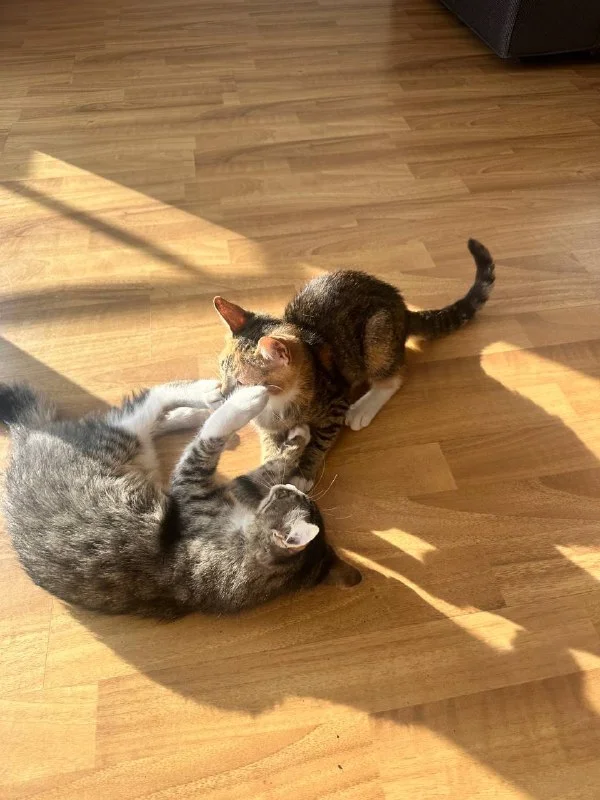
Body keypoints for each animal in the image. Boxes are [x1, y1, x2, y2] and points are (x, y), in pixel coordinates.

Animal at [0, 380, 360, 619]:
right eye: (293, 496)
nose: (292, 490)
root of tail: (27, 436)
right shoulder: (233, 487)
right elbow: (272, 462)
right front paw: (298, 439)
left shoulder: (192, 487)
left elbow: (209, 438)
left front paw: (246, 412)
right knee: (151, 414)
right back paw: (202, 405)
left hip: (121, 441)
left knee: (146, 407)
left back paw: (218, 399)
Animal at [214, 238, 495, 488]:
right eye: (221, 371)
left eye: (242, 382)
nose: (223, 396)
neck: (279, 403)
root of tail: (402, 307)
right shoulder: (267, 425)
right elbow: (271, 445)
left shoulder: (335, 402)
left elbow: (320, 441)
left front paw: (302, 473)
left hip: (377, 334)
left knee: (393, 377)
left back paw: (364, 407)